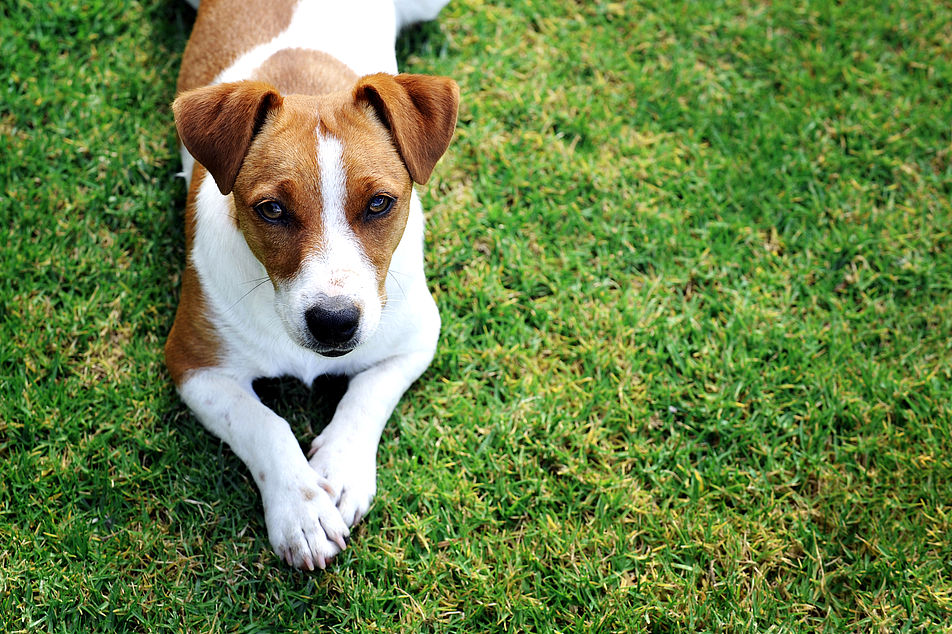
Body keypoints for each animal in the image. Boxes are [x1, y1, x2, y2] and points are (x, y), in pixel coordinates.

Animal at [166, 0, 462, 572]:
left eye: (379, 203)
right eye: (272, 210)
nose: (334, 323)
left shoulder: (418, 339)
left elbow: (367, 394)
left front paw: (341, 471)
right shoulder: (194, 365)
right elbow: (261, 424)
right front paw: (301, 510)